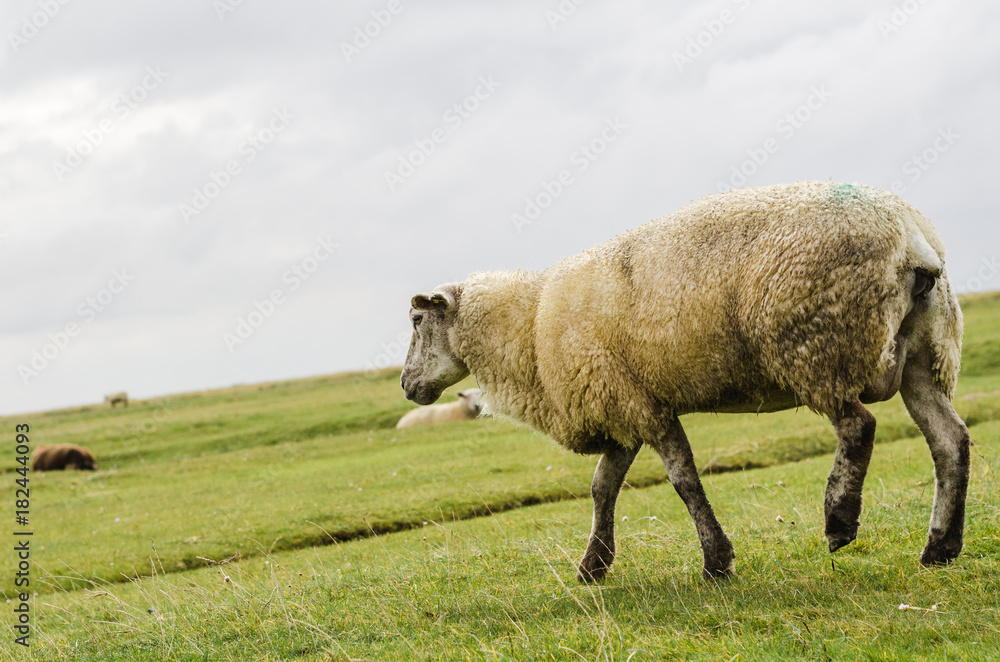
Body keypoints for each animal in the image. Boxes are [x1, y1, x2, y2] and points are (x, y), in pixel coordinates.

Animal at [401, 181, 969, 582]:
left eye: (416, 321)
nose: (407, 387)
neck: (531, 328)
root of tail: (911, 238)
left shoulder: (643, 409)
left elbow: (683, 481)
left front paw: (717, 562)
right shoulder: (625, 403)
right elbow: (602, 489)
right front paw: (593, 565)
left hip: (816, 343)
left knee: (859, 427)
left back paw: (840, 521)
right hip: (925, 354)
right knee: (950, 442)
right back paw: (940, 548)